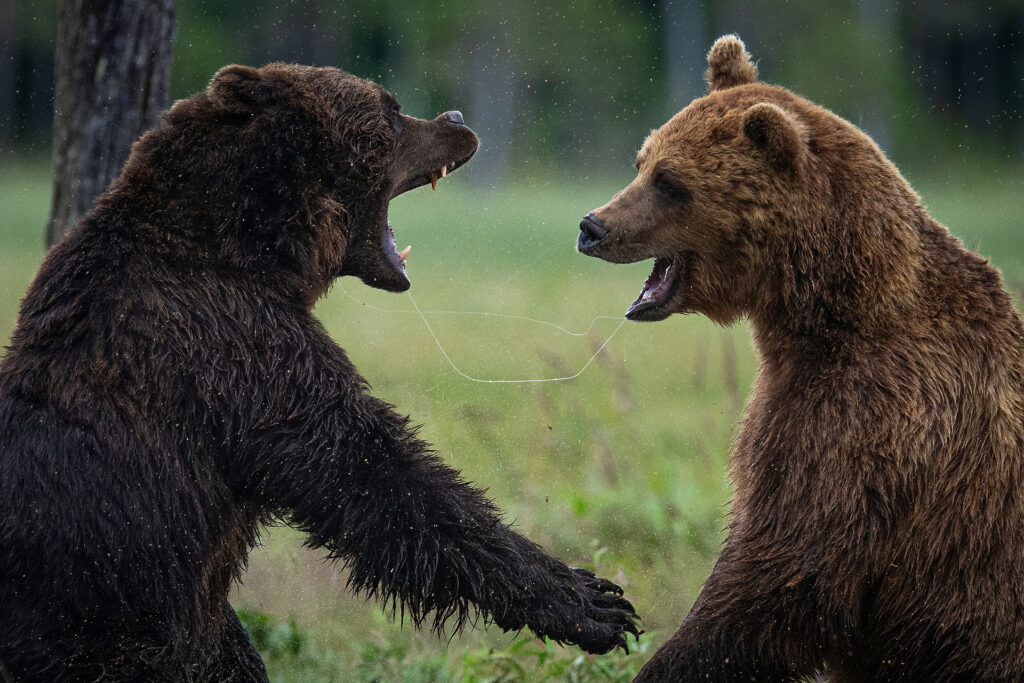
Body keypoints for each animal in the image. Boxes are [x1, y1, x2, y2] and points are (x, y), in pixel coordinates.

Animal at [0, 63, 639, 682]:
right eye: (390, 109)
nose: (457, 118)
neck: (253, 248)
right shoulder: (235, 349)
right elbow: (373, 470)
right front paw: (593, 602)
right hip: (93, 615)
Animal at [577, 36, 1024, 682]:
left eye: (669, 180)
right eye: (642, 161)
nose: (592, 226)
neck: (826, 312)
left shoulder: (866, 423)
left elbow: (783, 577)